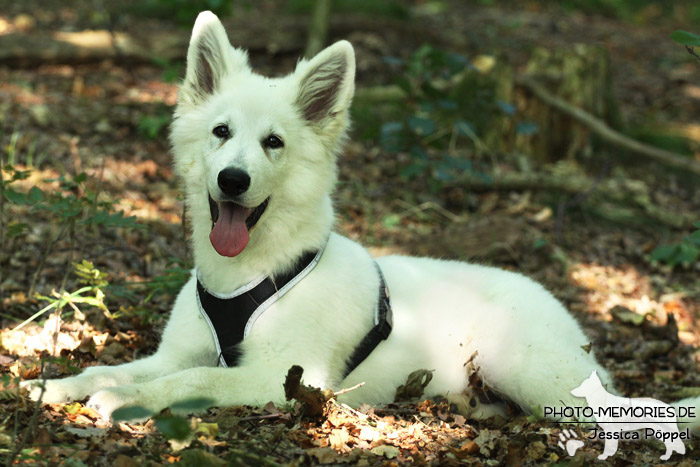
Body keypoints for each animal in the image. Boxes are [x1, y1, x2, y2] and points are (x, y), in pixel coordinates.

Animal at [23, 11, 700, 436]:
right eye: (220, 132)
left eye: (273, 143)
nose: (233, 181)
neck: (248, 276)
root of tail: (558, 304)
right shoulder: (177, 351)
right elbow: (120, 366)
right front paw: (60, 386)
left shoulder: (278, 377)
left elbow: (191, 381)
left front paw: (124, 402)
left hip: (534, 373)